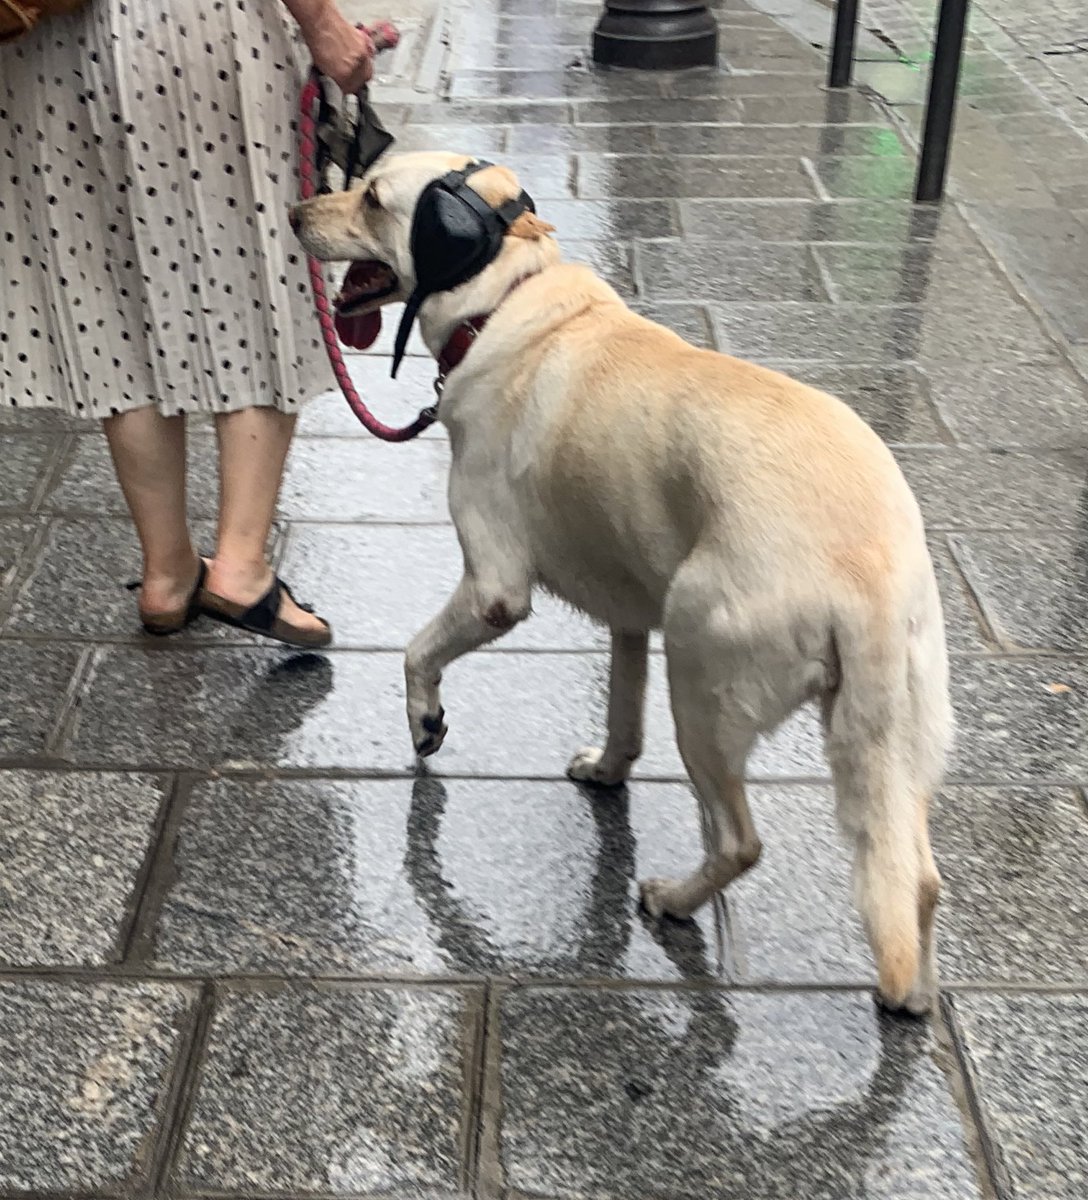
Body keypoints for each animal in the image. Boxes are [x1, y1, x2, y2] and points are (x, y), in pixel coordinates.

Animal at [291, 150, 954, 1012]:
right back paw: (914, 992)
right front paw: (607, 774)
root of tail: (867, 571)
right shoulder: (632, 617)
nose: (294, 212)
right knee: (919, 878)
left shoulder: (494, 589)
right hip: (896, 736)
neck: (509, 300)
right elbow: (622, 720)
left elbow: (415, 653)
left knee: (741, 841)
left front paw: (425, 722)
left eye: (371, 198)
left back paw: (674, 900)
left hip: (703, 684)